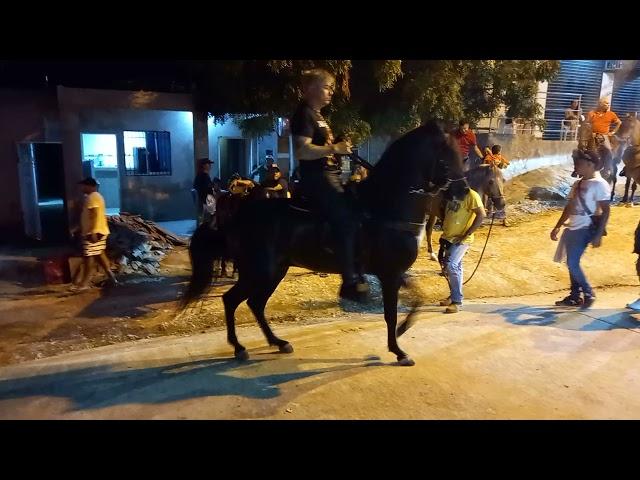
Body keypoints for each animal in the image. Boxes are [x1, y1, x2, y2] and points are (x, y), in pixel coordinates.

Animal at [182, 122, 462, 366]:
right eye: (447, 157)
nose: (460, 193)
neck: (385, 207)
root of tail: (239, 216)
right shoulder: (389, 274)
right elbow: (390, 314)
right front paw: (398, 350)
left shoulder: (393, 273)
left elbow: (418, 297)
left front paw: (403, 331)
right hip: (258, 271)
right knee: (232, 300)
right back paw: (239, 347)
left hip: (273, 272)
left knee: (255, 304)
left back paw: (278, 342)